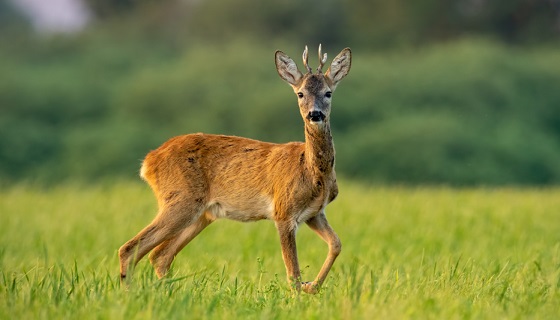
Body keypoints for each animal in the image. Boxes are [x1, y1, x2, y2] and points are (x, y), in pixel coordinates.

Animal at [119, 45, 350, 296]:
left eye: (328, 93)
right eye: (300, 93)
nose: (314, 114)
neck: (313, 173)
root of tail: (149, 161)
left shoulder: (314, 213)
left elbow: (336, 244)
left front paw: (312, 286)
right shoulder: (283, 211)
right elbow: (293, 273)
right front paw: (302, 292)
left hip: (202, 214)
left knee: (160, 255)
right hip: (181, 200)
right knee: (130, 248)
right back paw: (130, 295)